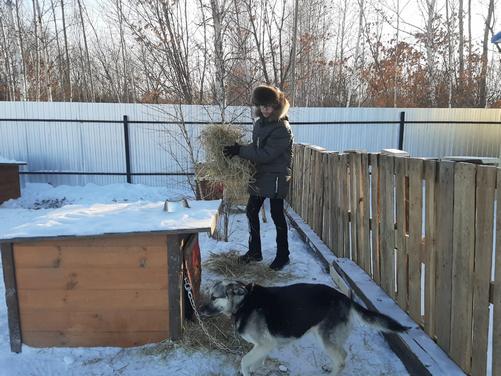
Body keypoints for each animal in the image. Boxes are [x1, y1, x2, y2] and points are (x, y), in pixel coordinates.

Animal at [199, 280, 410, 374]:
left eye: (214, 297)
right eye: (209, 295)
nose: (199, 310)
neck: (244, 303)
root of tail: (345, 298)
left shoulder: (265, 345)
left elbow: (244, 361)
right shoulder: (262, 347)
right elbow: (256, 361)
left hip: (325, 338)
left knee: (341, 359)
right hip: (323, 335)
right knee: (341, 355)